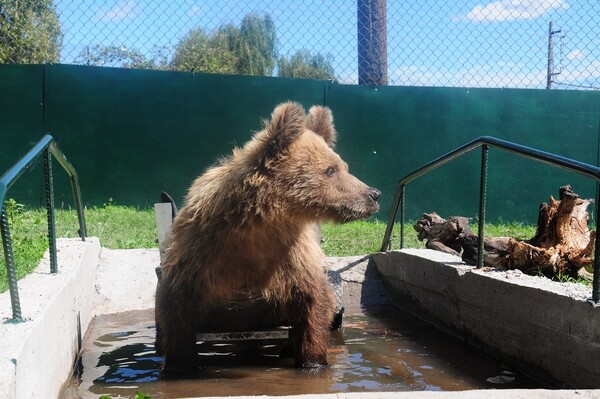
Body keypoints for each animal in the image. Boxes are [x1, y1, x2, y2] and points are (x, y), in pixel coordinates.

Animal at [155, 101, 380, 374]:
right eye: (331, 170)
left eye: (343, 166)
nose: (373, 194)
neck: (259, 223)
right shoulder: (200, 258)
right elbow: (178, 316)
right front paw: (180, 367)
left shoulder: (291, 259)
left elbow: (313, 306)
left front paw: (312, 362)